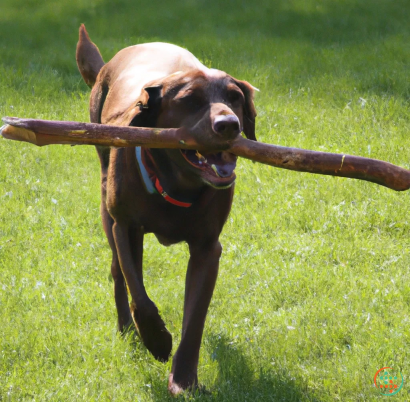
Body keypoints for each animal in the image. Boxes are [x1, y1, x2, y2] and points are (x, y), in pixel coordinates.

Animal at [75, 23, 256, 394]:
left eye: (235, 97)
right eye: (190, 101)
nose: (229, 124)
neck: (177, 184)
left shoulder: (207, 248)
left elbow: (195, 320)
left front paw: (184, 380)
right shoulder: (125, 228)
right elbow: (138, 293)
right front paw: (157, 341)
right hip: (106, 208)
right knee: (118, 273)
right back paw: (127, 330)